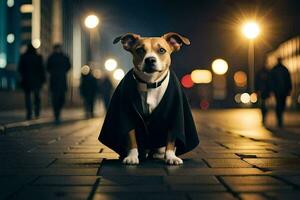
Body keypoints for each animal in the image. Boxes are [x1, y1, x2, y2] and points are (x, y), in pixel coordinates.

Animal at [99, 32, 200, 166]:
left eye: (162, 50)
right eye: (140, 50)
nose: (150, 59)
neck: (150, 83)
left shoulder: (174, 115)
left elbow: (171, 139)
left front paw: (171, 157)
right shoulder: (129, 115)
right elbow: (131, 138)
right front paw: (132, 156)